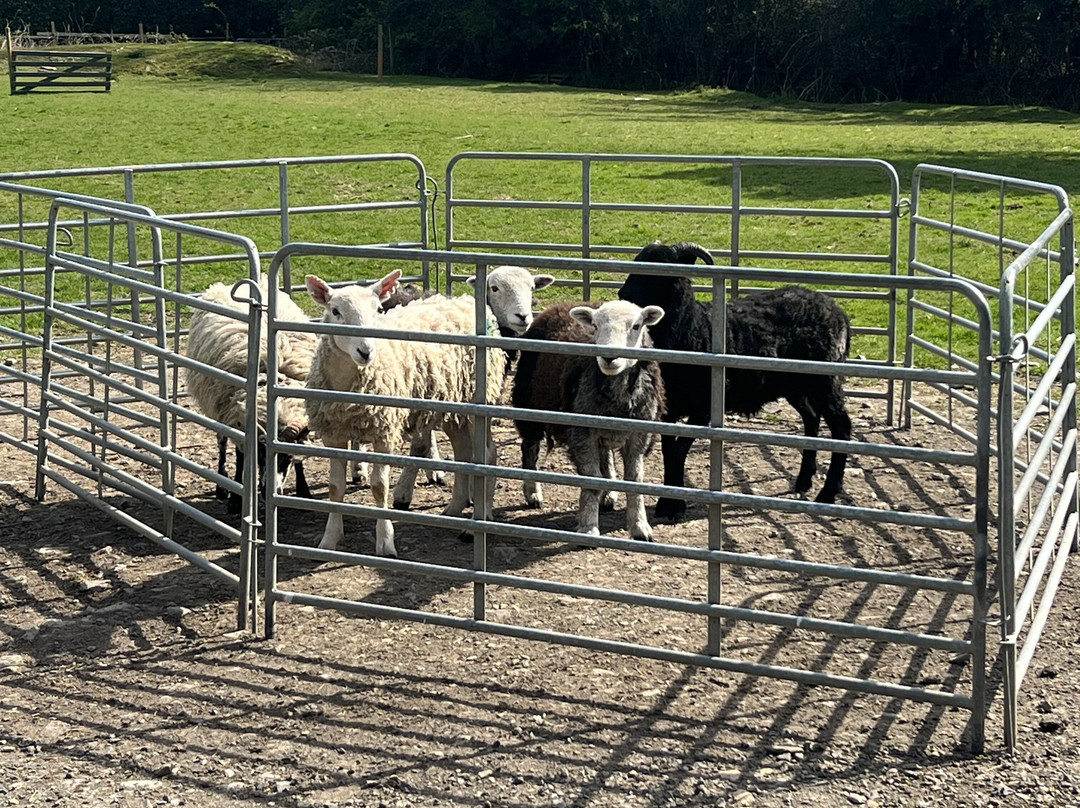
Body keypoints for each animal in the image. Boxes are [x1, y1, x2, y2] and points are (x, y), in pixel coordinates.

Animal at [184, 274, 316, 513]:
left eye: (286, 458)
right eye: (261, 454)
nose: (267, 491)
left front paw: (304, 490)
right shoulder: (236, 419)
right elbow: (240, 457)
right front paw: (237, 500)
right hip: (218, 408)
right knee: (222, 443)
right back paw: (222, 487)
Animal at [304, 270, 508, 557]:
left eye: (378, 309)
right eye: (335, 311)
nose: (366, 351)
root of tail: (465, 301)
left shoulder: (384, 432)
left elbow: (379, 488)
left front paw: (386, 542)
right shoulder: (334, 435)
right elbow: (335, 488)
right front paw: (329, 540)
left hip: (479, 403)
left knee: (488, 455)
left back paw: (480, 520)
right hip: (454, 405)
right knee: (463, 452)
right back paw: (454, 509)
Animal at [512, 299, 666, 541]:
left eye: (636, 325)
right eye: (594, 326)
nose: (609, 357)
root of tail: (562, 304)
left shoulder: (639, 433)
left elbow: (635, 480)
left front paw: (640, 527)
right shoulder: (582, 431)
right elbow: (591, 480)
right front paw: (588, 528)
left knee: (605, 457)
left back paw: (608, 495)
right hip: (527, 402)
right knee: (529, 447)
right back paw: (532, 492)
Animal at [617, 240, 852, 519]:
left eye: (663, 270)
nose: (623, 294)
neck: (693, 329)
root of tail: (838, 311)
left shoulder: (703, 408)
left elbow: (680, 450)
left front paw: (673, 505)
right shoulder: (670, 408)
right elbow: (669, 450)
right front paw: (669, 502)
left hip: (825, 380)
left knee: (841, 427)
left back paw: (828, 493)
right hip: (796, 385)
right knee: (811, 417)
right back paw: (804, 480)